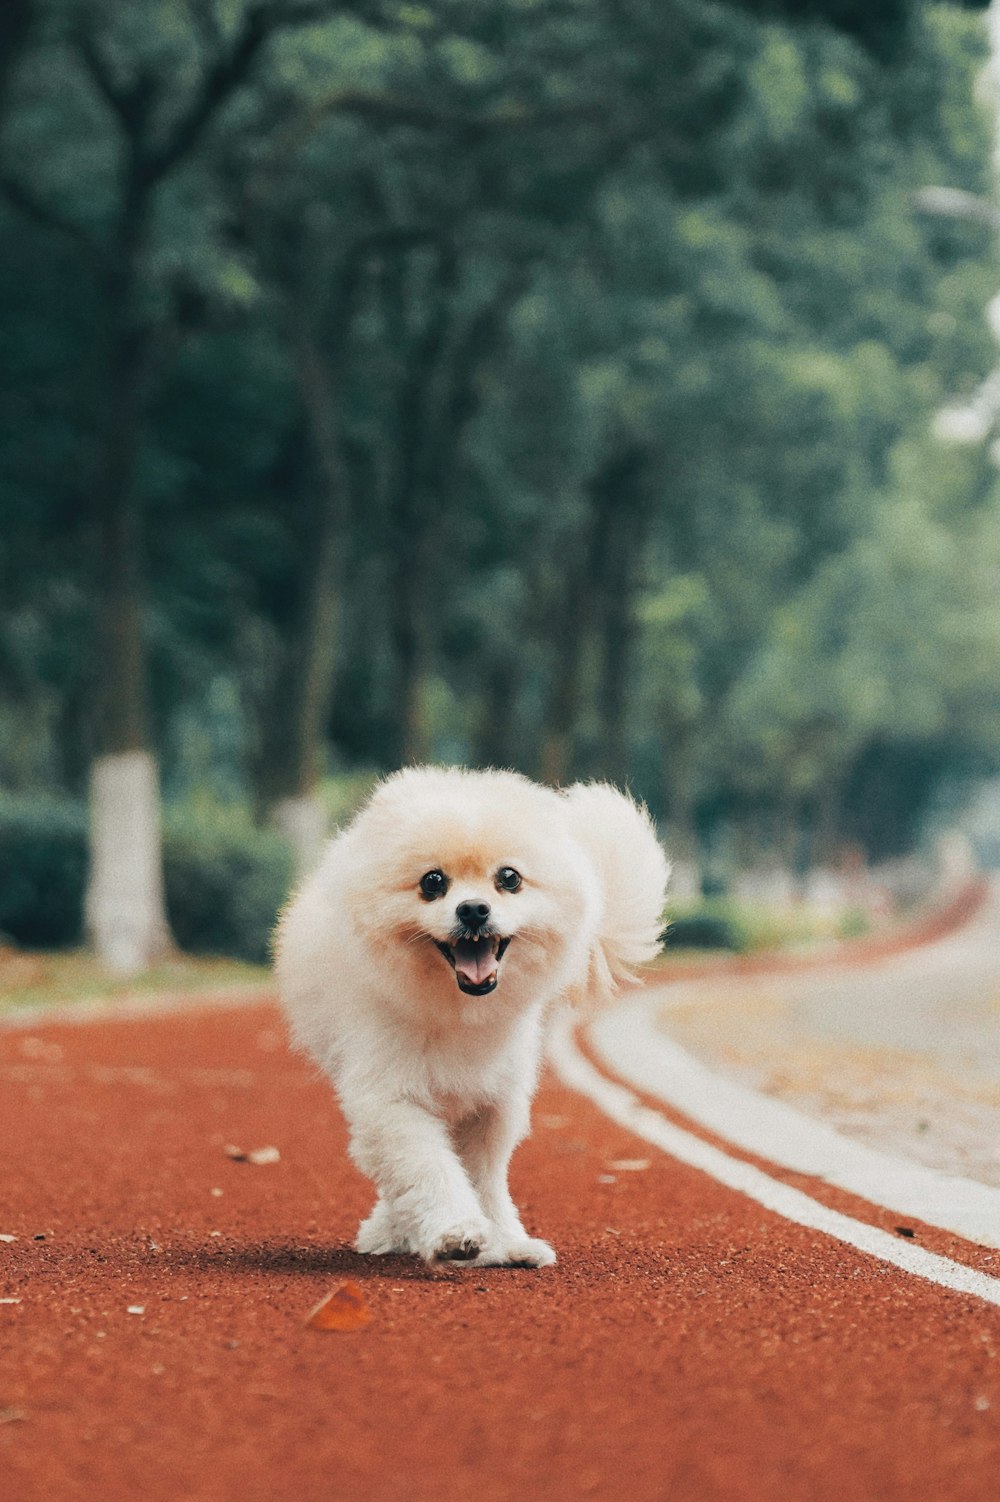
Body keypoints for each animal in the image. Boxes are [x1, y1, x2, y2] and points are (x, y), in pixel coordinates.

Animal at [273, 763, 666, 1267]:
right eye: (432, 882)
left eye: (510, 878)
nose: (474, 909)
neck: (460, 1013)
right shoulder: (393, 1100)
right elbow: (429, 1169)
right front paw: (454, 1231)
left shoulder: (492, 1103)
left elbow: (484, 1179)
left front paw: (503, 1242)